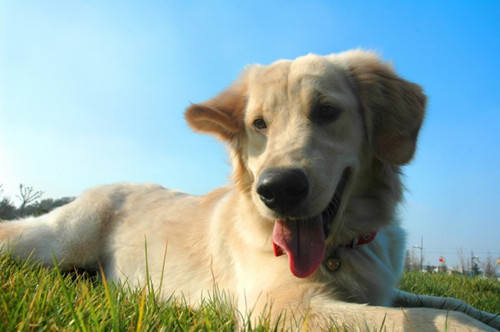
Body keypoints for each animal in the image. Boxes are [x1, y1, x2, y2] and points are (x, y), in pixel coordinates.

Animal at [1, 50, 498, 332]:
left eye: (326, 111)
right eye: (259, 124)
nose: (276, 190)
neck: (341, 247)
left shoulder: (379, 291)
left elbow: (449, 302)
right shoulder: (277, 306)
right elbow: (424, 320)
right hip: (55, 241)